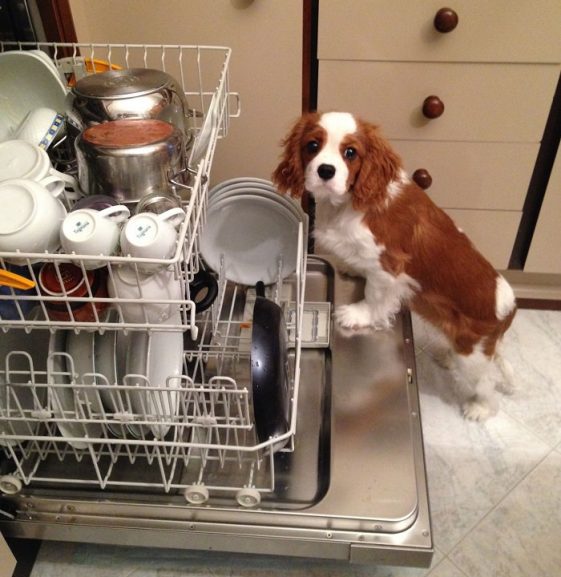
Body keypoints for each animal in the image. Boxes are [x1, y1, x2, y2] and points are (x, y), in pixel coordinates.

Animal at [272, 111, 516, 418]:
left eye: (350, 153)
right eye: (312, 145)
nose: (326, 170)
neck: (348, 203)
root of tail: (509, 309)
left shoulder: (389, 267)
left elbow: (374, 297)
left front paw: (357, 315)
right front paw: (354, 268)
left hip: (472, 355)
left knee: (486, 383)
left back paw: (479, 408)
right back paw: (446, 357)